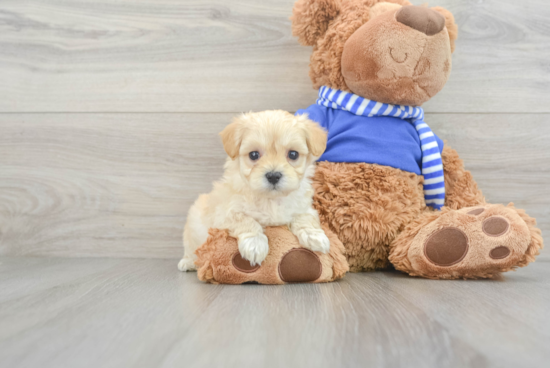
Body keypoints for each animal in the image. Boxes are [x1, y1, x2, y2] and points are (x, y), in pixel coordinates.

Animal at [179, 109, 330, 270]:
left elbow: (305, 218)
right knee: (191, 249)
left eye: (293, 154)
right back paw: (187, 262)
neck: (271, 200)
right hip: (193, 227)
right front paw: (255, 245)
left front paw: (315, 236)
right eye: (253, 155)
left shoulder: (305, 208)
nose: (273, 176)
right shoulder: (223, 215)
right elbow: (246, 220)